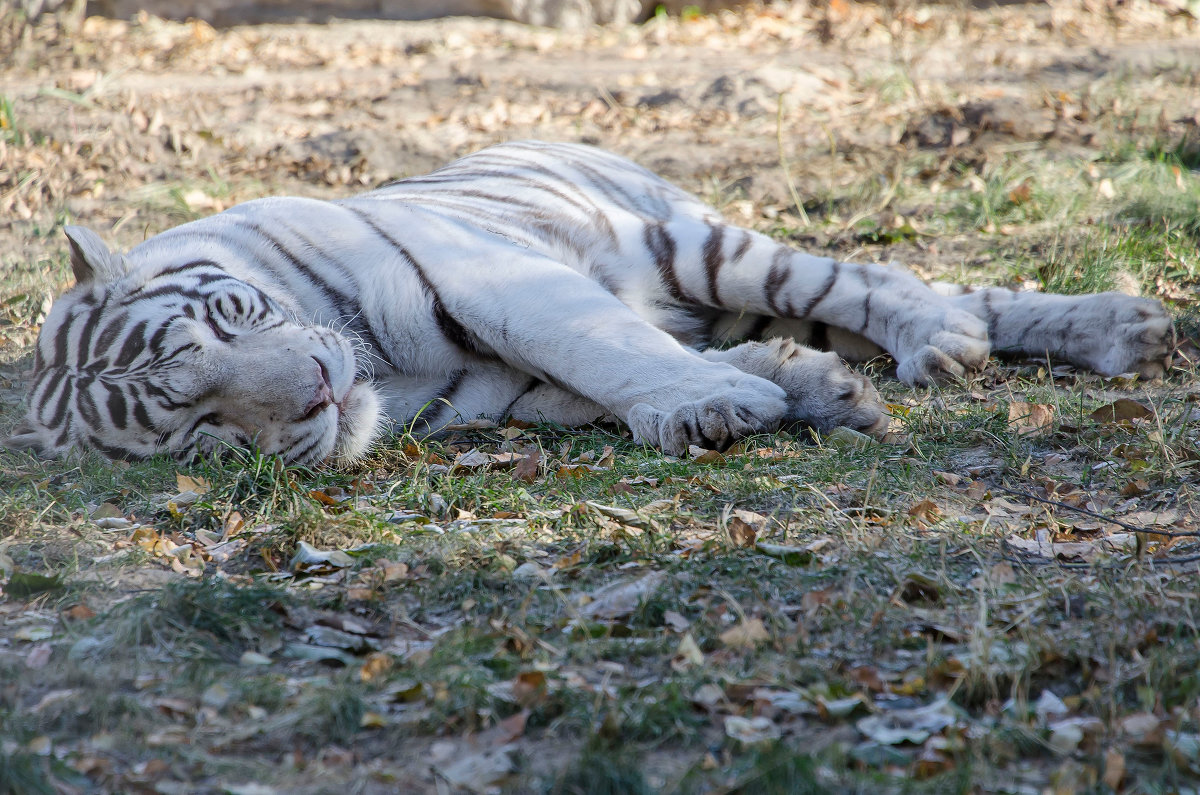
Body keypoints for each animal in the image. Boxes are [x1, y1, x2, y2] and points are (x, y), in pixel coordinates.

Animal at [4, 142, 1176, 468]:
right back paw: (1120, 328)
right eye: (204, 428)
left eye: (224, 324)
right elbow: (595, 381)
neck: (391, 383)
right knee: (946, 294)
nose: (318, 395)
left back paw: (942, 345)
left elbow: (598, 347)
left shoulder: (490, 275)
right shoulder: (502, 393)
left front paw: (707, 412)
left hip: (702, 249)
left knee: (883, 283)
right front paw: (784, 395)